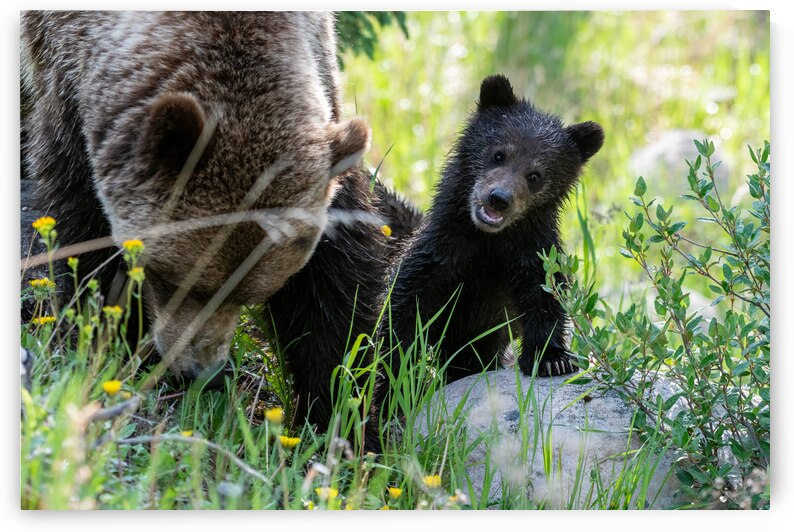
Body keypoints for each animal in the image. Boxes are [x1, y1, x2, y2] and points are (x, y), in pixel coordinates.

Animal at [20, 11, 420, 449]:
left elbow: (335, 283)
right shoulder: (66, 87)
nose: (202, 373)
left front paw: (340, 416)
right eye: (172, 280)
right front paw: (117, 346)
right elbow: (87, 231)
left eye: (250, 294)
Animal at [381, 74, 604, 389]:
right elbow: (403, 305)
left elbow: (545, 296)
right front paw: (397, 368)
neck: (488, 241)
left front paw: (552, 358)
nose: (499, 198)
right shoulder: (439, 252)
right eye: (498, 154)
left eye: (535, 175)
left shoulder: (530, 252)